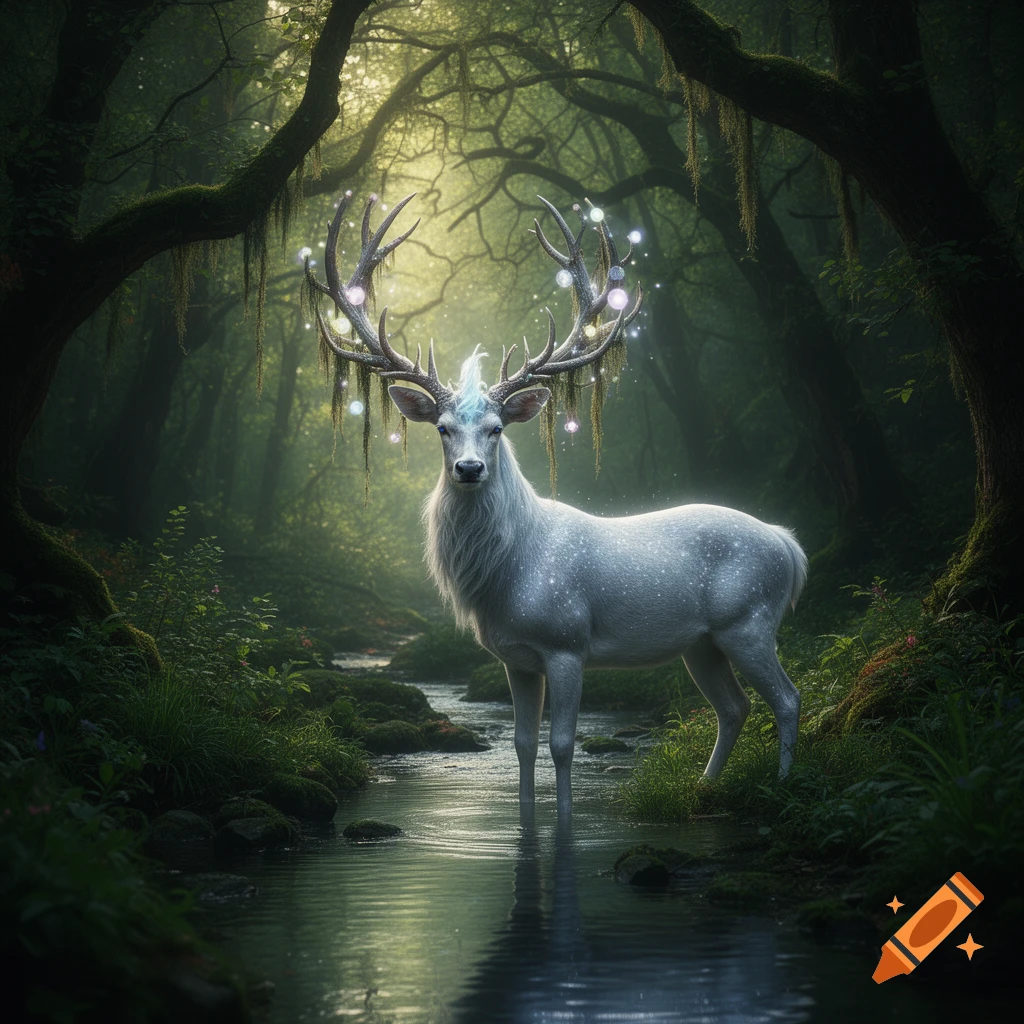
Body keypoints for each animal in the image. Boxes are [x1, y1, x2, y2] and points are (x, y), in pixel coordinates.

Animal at [304, 191, 808, 815]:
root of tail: (790, 548)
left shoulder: (568, 643)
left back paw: (781, 786)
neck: (507, 577)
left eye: (496, 429)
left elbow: (562, 744)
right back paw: (703, 788)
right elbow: (521, 744)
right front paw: (524, 820)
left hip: (751, 620)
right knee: (734, 707)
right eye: (443, 429)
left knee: (787, 698)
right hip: (703, 643)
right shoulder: (515, 657)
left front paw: (566, 820)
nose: (468, 469)